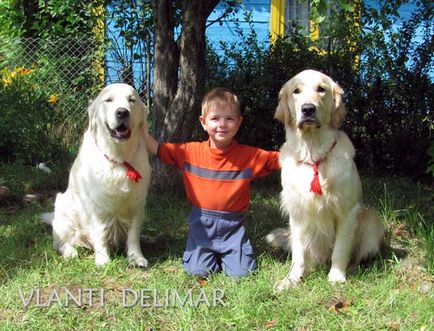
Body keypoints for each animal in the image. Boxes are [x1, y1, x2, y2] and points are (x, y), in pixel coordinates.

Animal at [42, 84, 151, 268]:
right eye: (108, 100)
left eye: (131, 100)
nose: (122, 112)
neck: (118, 158)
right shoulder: (97, 205)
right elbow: (100, 232)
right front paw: (103, 260)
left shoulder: (137, 203)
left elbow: (133, 234)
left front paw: (136, 257)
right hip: (63, 209)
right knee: (60, 242)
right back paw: (70, 252)